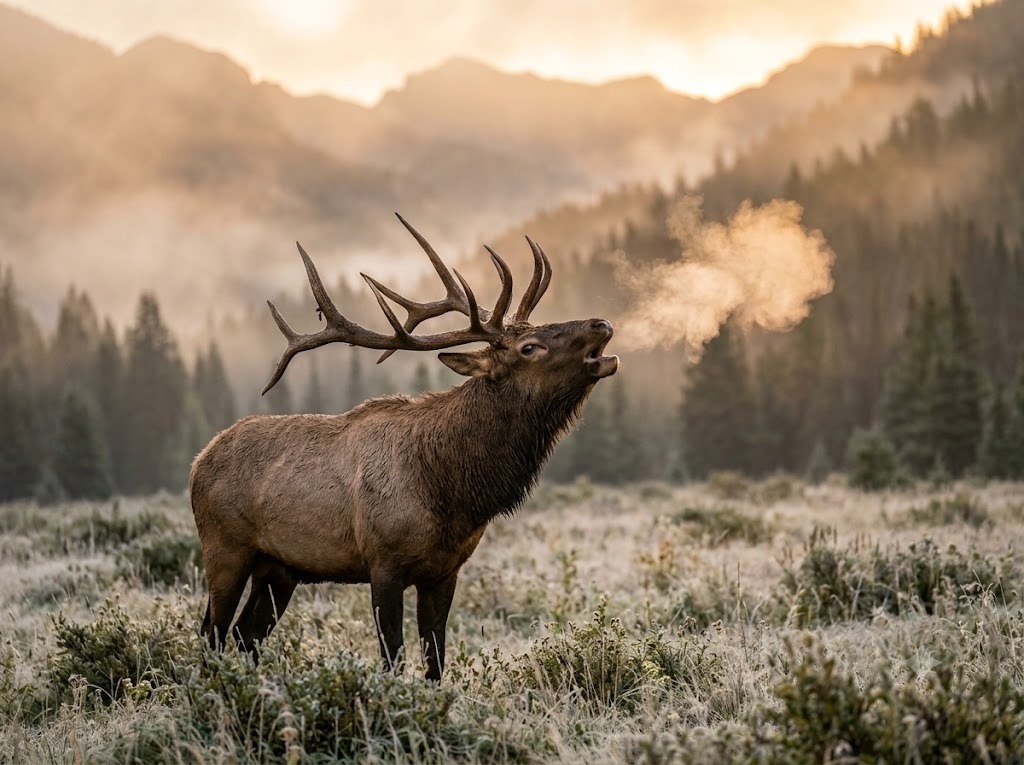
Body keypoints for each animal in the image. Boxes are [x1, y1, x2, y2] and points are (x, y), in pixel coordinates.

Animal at [189, 214, 618, 681]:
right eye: (530, 347)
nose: (601, 323)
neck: (453, 491)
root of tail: (198, 462)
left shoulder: (445, 571)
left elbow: (435, 659)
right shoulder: (383, 563)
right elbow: (392, 655)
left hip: (279, 568)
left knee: (246, 634)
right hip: (224, 548)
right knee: (212, 632)